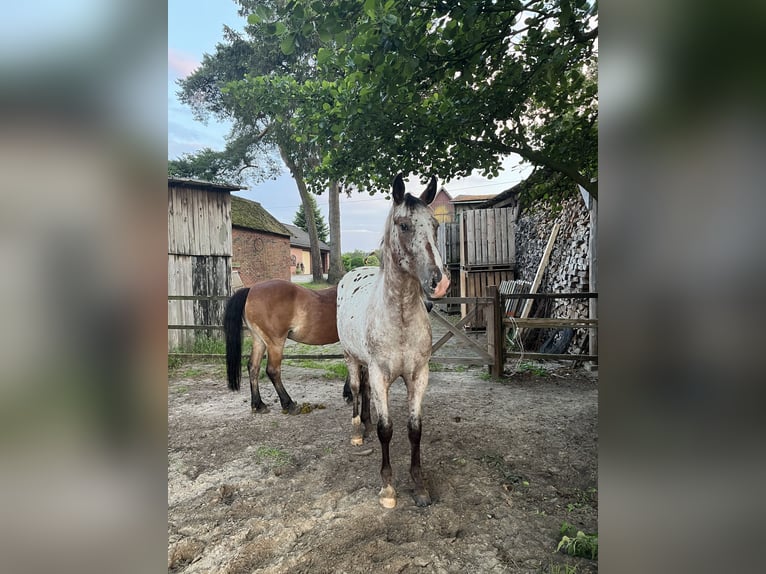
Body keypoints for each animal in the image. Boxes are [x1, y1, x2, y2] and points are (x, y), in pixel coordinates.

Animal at [224, 282, 340, 416]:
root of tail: (251, 290)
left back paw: (258, 405)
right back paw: (289, 404)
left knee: (253, 367)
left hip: (259, 340)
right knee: (273, 370)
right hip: (275, 343)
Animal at [336, 173, 450, 510]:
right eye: (404, 225)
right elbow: (386, 430)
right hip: (351, 357)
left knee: (364, 393)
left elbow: (415, 430)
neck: (398, 318)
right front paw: (388, 488)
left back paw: (366, 423)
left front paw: (419, 485)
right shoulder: (380, 374)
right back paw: (358, 430)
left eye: (435, 225)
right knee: (357, 389)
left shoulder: (418, 375)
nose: (440, 282)